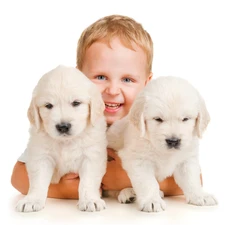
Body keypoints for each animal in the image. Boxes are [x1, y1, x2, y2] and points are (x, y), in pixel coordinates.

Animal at [15, 65, 107, 213]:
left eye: (76, 103)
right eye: (48, 105)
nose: (63, 127)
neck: (66, 142)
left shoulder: (92, 155)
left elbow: (88, 180)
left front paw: (90, 200)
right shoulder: (41, 156)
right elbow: (38, 180)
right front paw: (31, 200)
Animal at [107, 76, 218, 212]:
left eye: (185, 119)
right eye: (158, 119)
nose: (173, 141)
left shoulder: (186, 159)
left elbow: (191, 179)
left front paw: (200, 195)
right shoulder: (137, 159)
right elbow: (148, 182)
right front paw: (151, 200)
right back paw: (127, 193)